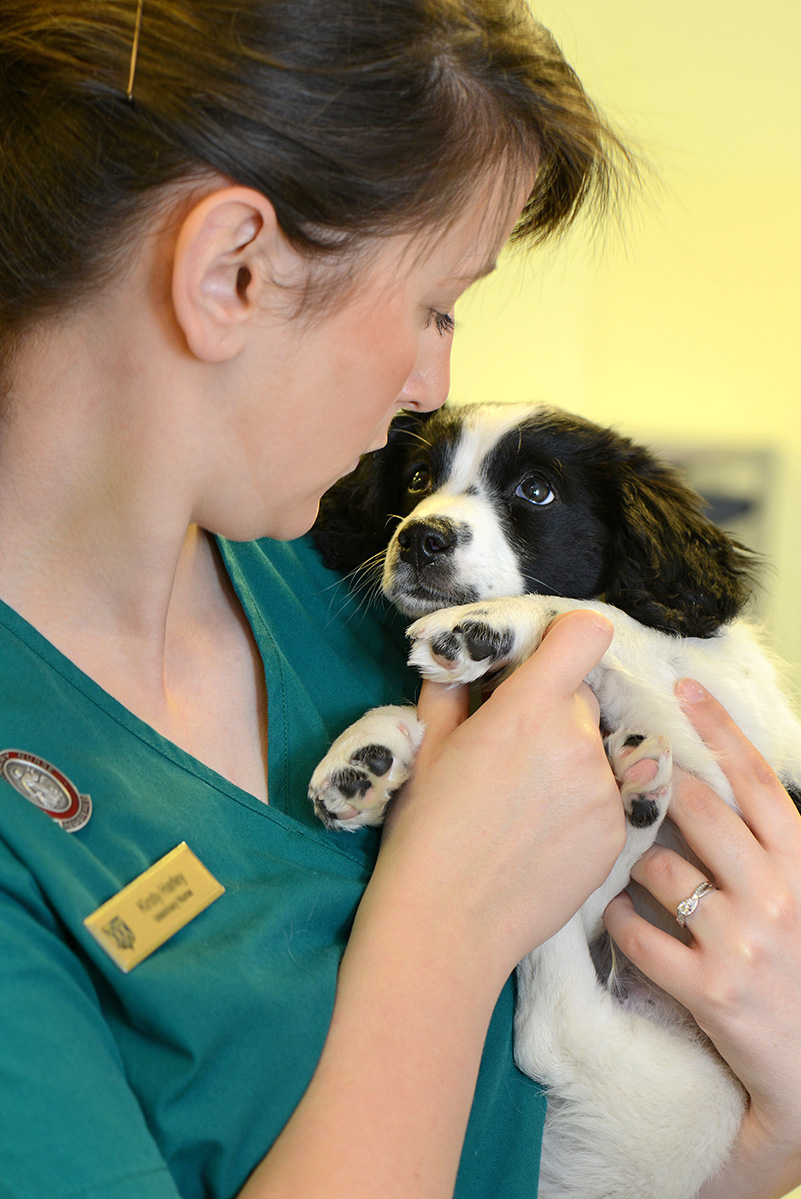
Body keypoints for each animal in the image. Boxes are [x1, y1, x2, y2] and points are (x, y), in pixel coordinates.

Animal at [306, 402, 801, 1199]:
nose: (418, 536)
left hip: (691, 1107)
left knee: (553, 1024)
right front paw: (371, 746)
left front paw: (491, 626)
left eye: (536, 491)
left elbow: (598, 614)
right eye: (417, 478)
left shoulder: (742, 742)